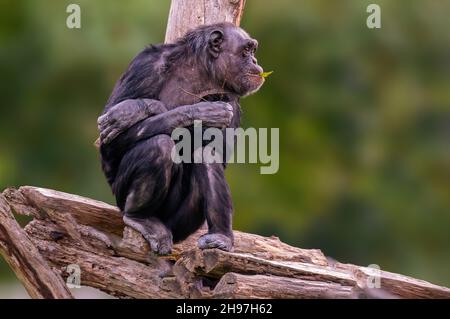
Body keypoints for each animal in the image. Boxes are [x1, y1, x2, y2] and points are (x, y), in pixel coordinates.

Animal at [97, 22, 266, 255]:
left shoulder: (230, 96)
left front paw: (135, 110)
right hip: (121, 197)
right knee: (159, 146)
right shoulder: (144, 65)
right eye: (247, 50)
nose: (255, 61)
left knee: (204, 154)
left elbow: (219, 150)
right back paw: (140, 217)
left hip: (181, 225)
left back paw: (220, 236)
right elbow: (109, 143)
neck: (200, 71)